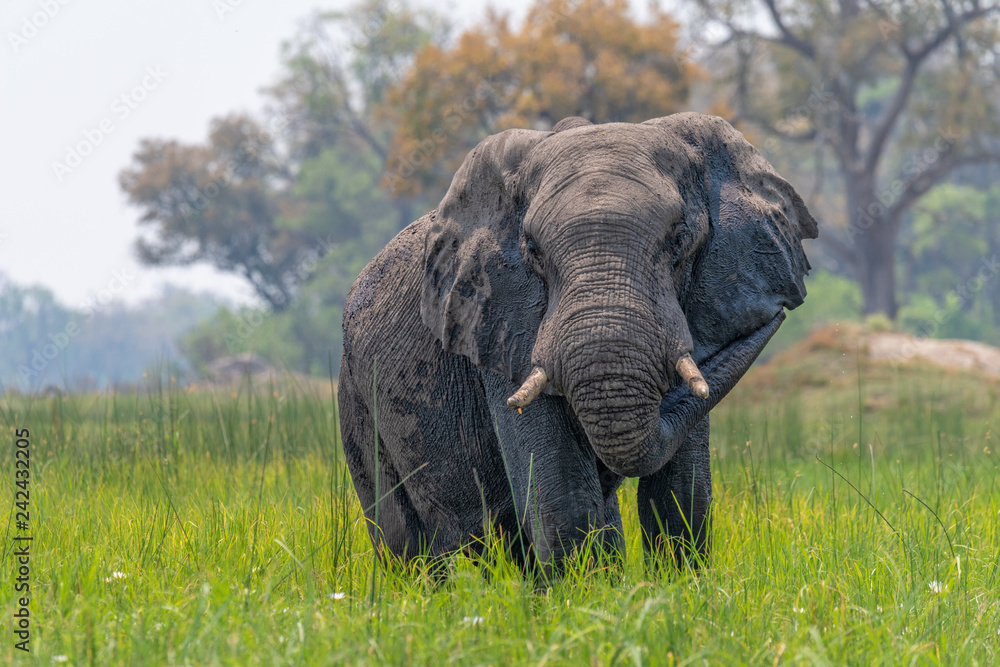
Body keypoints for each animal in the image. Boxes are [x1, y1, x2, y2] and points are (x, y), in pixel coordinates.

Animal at [338, 112, 817, 574]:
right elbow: (561, 490)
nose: (781, 311)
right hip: (356, 399)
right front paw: (581, 596)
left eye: (680, 239)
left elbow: (680, 490)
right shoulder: (501, 318)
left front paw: (677, 591)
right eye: (532, 250)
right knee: (405, 537)